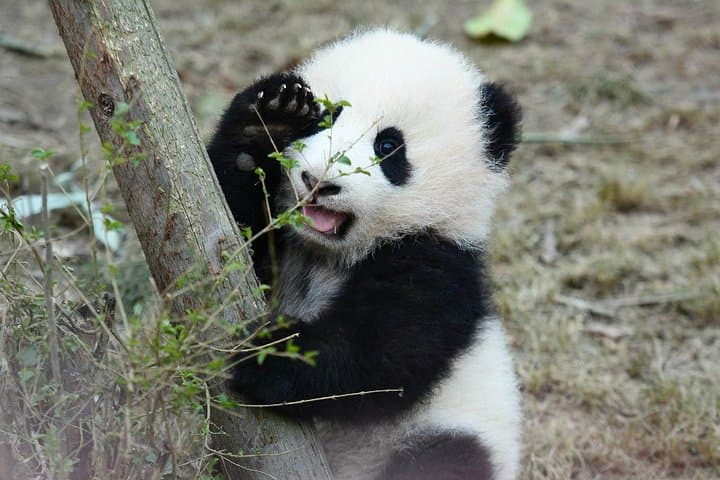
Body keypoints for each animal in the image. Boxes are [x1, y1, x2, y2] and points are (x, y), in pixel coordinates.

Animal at [208, 29, 522, 480]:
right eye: (329, 116)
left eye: (388, 146)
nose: (319, 181)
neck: (325, 253)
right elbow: (229, 228)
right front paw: (269, 120)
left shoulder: (438, 262)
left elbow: (380, 355)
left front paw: (265, 355)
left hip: (450, 429)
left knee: (447, 457)